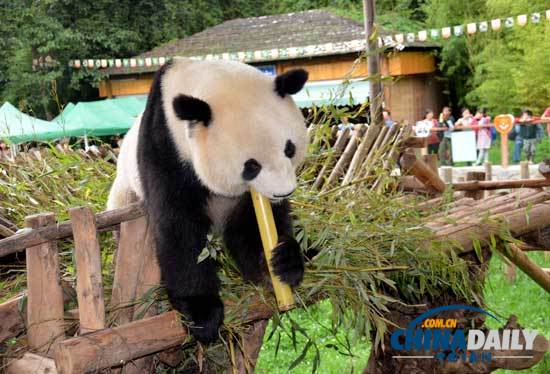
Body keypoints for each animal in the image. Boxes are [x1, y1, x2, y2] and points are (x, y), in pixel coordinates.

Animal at [105, 59, 308, 344]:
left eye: (289, 149)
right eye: (251, 166)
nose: (283, 193)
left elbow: (250, 226)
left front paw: (281, 264)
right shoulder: (165, 148)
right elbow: (178, 229)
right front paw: (202, 315)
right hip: (124, 198)